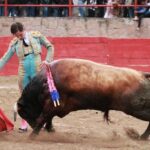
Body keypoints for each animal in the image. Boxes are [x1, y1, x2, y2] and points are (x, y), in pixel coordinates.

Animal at [16, 58, 150, 139]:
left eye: (24, 112)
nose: (31, 126)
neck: (44, 82)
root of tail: (143, 75)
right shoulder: (55, 106)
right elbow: (48, 119)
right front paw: (50, 131)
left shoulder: (51, 105)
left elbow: (43, 118)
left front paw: (32, 136)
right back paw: (142, 137)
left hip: (136, 108)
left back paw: (142, 137)